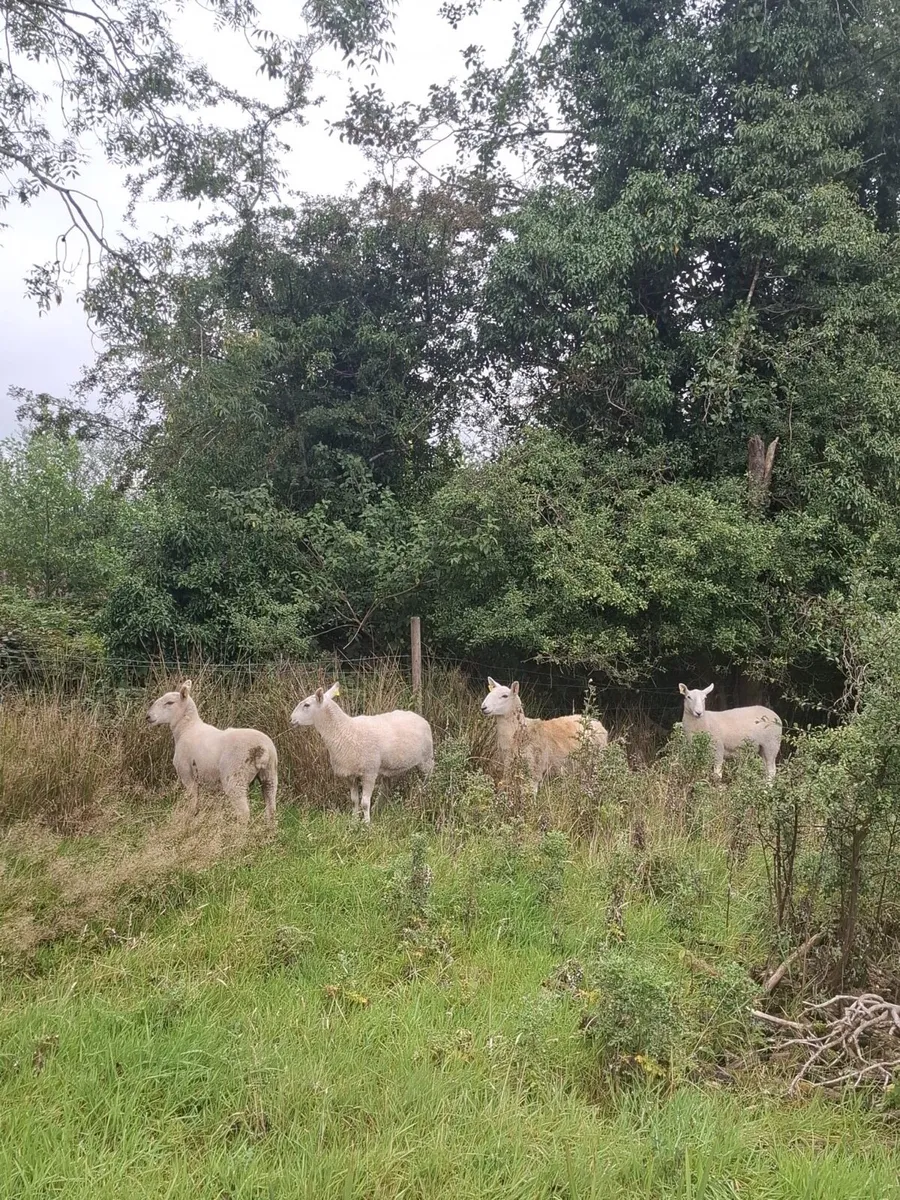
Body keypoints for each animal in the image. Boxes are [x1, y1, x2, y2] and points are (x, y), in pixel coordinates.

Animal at [146, 679, 278, 823]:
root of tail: (263, 749)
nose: (148, 716)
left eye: (170, 703)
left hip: (236, 776)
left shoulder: (187, 775)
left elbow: (192, 801)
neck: (187, 728)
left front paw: (189, 817)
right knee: (271, 808)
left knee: (243, 812)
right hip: (270, 774)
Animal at [290, 681, 434, 824]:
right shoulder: (350, 774)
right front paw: (353, 821)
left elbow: (364, 803)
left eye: (306, 705)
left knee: (428, 779)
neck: (344, 730)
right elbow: (354, 800)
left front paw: (366, 824)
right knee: (386, 789)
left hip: (426, 759)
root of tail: (417, 716)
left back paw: (426, 797)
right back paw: (379, 808)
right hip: (391, 767)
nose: (291, 719)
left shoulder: (369, 772)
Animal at [480, 676, 608, 796]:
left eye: (505, 696)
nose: (483, 707)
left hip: (596, 763)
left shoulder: (534, 770)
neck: (520, 732)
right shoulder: (508, 766)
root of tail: (599, 724)